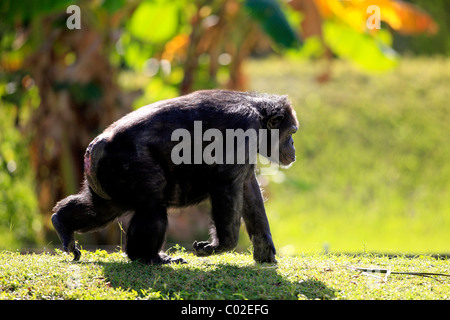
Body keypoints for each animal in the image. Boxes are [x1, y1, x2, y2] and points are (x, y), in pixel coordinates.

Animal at [51, 89, 298, 264]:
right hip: (127, 167)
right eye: (291, 132)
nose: (293, 145)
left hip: (105, 181)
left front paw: (265, 250)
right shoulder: (243, 129)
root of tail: (94, 148)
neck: (258, 114)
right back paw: (149, 257)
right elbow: (227, 185)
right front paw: (220, 246)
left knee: (99, 210)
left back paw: (62, 223)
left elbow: (249, 189)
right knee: (153, 209)